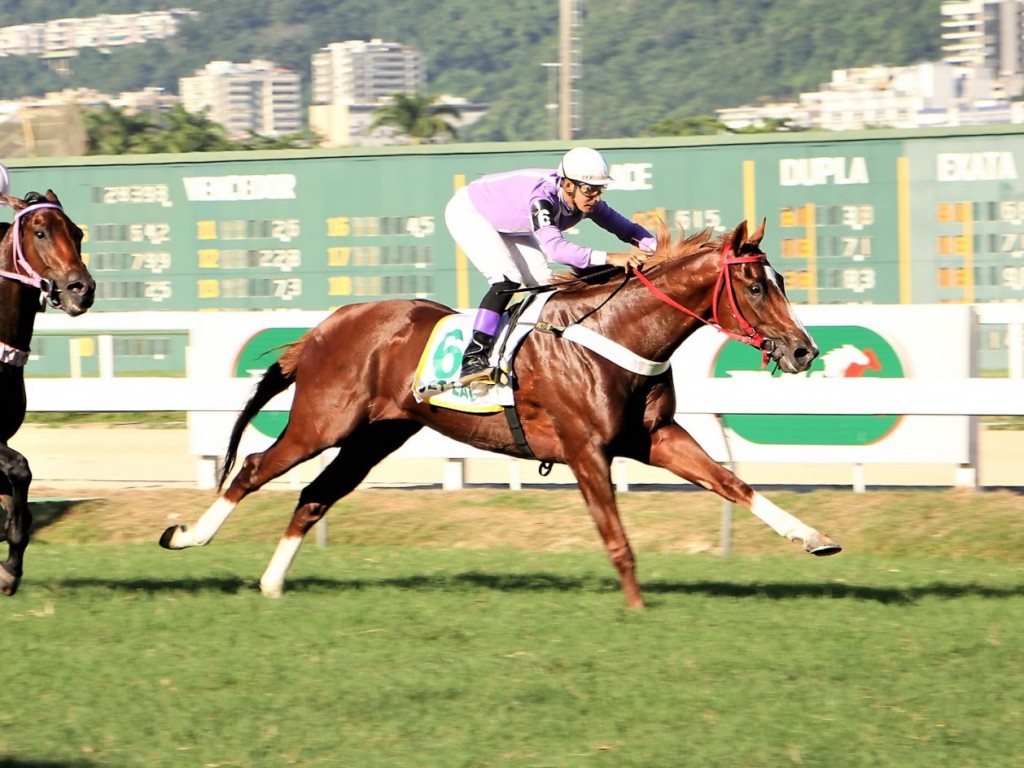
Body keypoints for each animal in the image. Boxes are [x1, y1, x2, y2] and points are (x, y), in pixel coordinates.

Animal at [161, 219, 839, 610]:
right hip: (324, 422)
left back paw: (273, 584)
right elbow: (616, 536)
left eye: (779, 279)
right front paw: (637, 608)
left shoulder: (654, 437)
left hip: (377, 435)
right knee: (254, 467)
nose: (804, 350)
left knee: (314, 495)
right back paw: (190, 536)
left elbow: (734, 482)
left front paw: (814, 537)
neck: (614, 332)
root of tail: (327, 327)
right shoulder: (585, 449)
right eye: (756, 286)